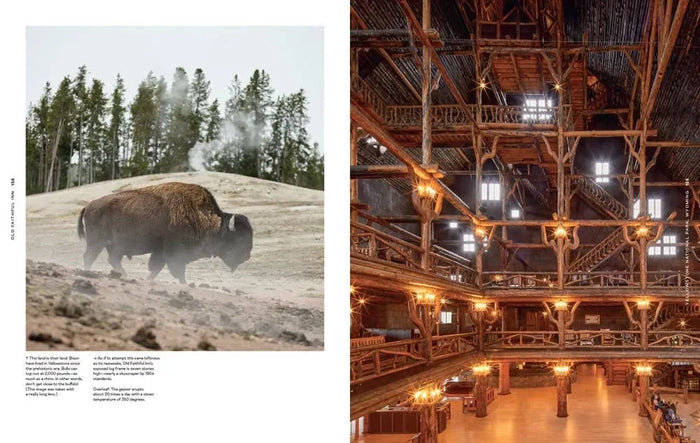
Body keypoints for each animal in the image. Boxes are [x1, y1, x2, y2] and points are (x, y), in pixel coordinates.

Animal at [77, 182, 253, 283]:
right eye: (237, 239)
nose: (247, 256)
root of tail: (89, 206)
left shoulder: (160, 251)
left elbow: (157, 267)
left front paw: (149, 279)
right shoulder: (175, 252)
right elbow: (177, 270)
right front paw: (184, 284)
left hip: (113, 246)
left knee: (112, 259)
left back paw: (125, 275)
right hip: (97, 242)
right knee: (89, 257)